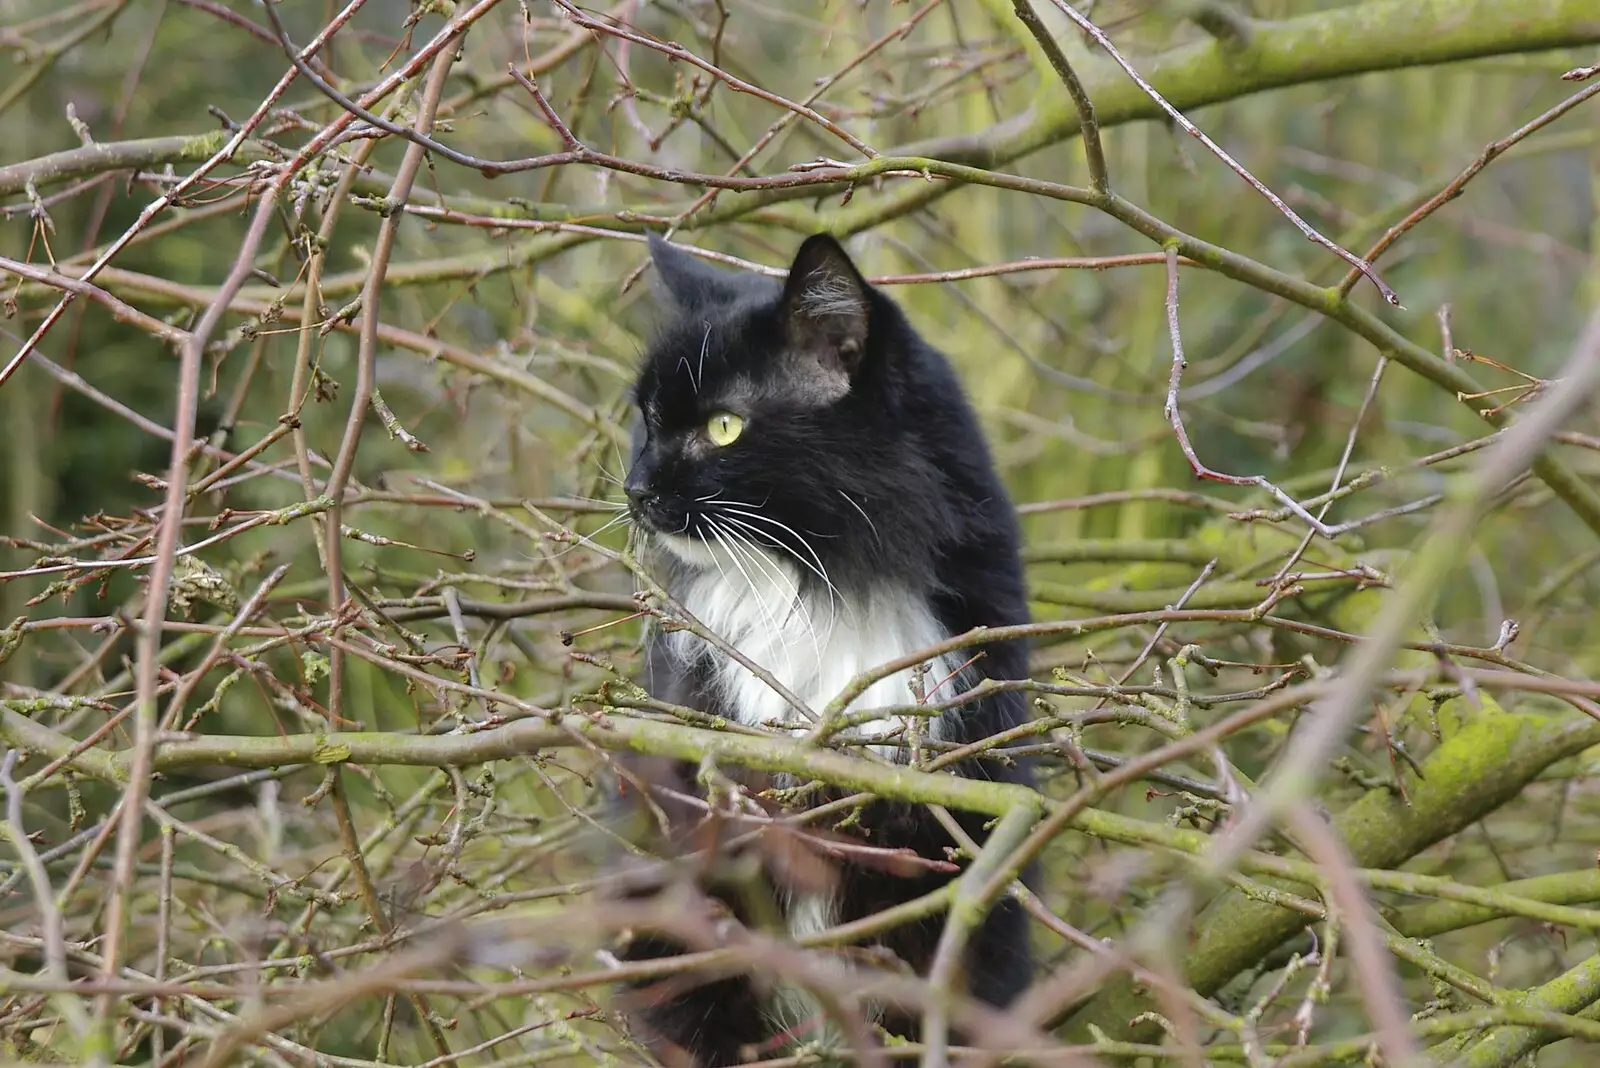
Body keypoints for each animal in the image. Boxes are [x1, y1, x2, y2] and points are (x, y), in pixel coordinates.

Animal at [611, 230, 1036, 1061]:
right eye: (647, 417)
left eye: (723, 428)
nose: (635, 490)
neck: (817, 593)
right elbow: (708, 1017)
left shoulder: (948, 837)